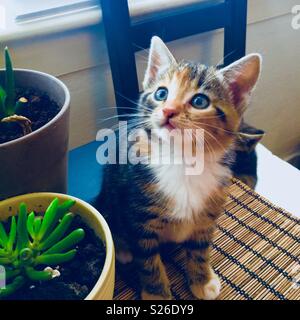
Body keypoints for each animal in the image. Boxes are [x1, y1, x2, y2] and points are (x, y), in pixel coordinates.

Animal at [95, 37, 262, 300]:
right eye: (161, 93)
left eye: (200, 101)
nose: (168, 110)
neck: (183, 159)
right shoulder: (139, 215)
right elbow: (148, 260)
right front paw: (157, 294)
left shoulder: (207, 214)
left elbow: (200, 250)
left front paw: (202, 280)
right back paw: (122, 249)